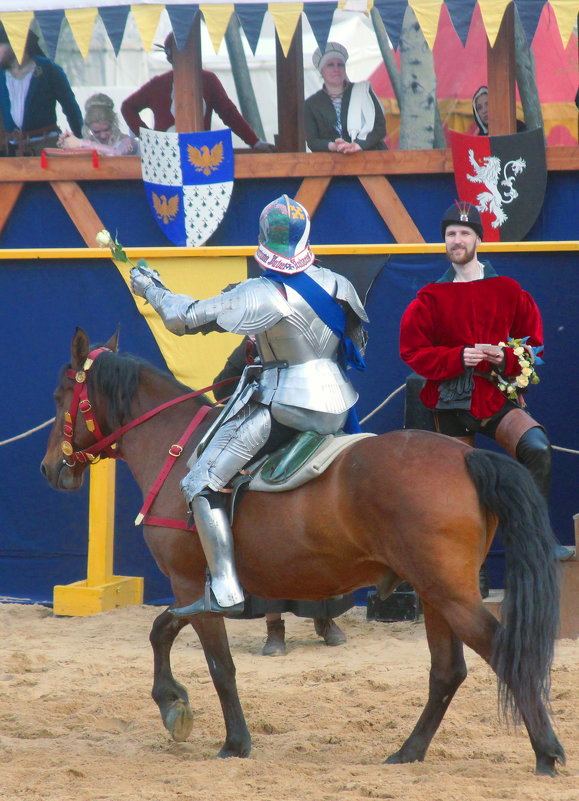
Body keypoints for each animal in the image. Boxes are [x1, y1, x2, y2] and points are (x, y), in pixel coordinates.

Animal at [42, 328, 568, 772]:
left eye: (59, 396)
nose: (50, 468)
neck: (175, 450)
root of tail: (465, 454)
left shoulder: (192, 584)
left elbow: (219, 665)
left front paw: (233, 741)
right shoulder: (192, 590)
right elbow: (161, 630)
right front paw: (173, 703)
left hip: (449, 592)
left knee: (501, 653)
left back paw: (546, 752)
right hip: (435, 592)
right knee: (447, 671)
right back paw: (409, 751)